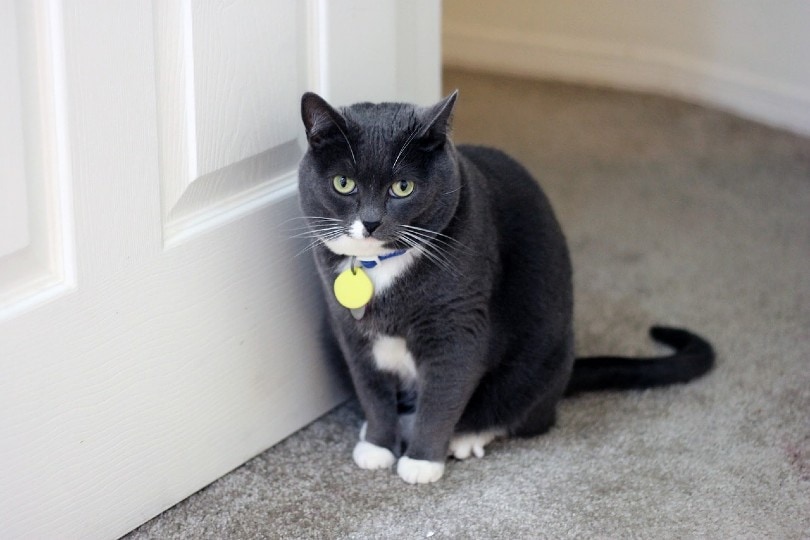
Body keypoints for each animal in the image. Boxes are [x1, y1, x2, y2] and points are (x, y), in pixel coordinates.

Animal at [294, 89, 712, 486]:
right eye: (344, 183)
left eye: (403, 187)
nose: (370, 222)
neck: (378, 267)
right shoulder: (350, 332)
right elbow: (372, 389)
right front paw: (378, 445)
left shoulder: (458, 325)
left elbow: (442, 396)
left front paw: (422, 461)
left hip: (537, 363)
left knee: (524, 416)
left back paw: (467, 436)